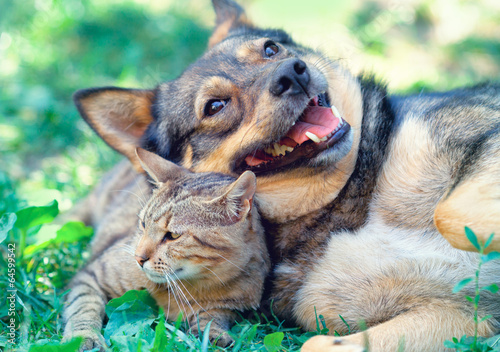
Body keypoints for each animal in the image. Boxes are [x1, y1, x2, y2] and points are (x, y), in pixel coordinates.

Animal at [62, 148, 270, 350]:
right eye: (143, 224)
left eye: (173, 236)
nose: (138, 258)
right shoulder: (92, 275)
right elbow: (84, 306)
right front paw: (84, 337)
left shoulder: (231, 307)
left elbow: (213, 317)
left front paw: (212, 334)